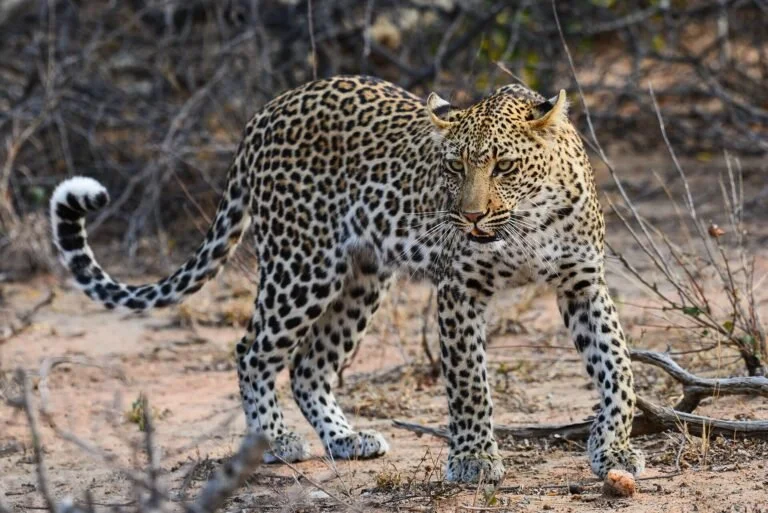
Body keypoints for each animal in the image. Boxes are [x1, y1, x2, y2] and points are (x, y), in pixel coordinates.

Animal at [50, 75, 644, 484]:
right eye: (453, 167)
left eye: (504, 167)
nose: (470, 218)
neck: (528, 222)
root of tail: (265, 112)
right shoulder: (460, 290)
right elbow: (469, 383)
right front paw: (474, 459)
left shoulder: (583, 285)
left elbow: (617, 367)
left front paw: (612, 448)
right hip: (302, 265)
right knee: (252, 350)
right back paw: (277, 439)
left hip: (362, 279)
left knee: (309, 365)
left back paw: (345, 438)